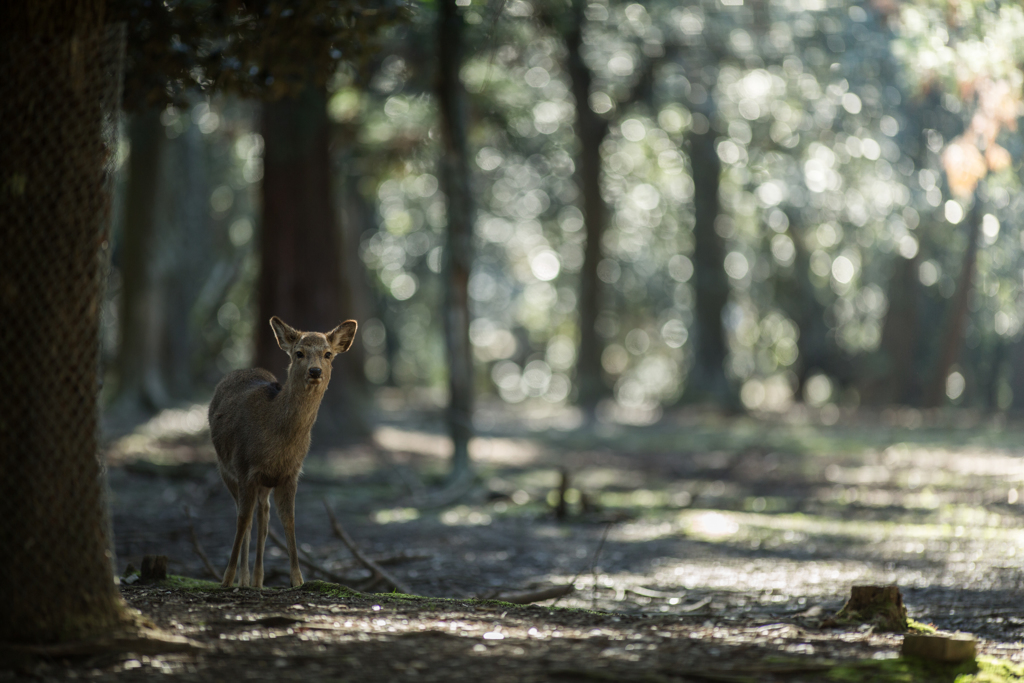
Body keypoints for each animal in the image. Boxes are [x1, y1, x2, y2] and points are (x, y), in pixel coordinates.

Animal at [205, 315, 358, 589]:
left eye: (328, 354)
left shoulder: (290, 474)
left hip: (264, 483)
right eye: (299, 353)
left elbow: (289, 521)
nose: (315, 371)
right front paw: (227, 579)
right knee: (245, 515)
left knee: (263, 516)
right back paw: (244, 579)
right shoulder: (244, 468)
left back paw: (257, 579)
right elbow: (242, 520)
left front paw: (298, 579)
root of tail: (241, 370)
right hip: (224, 468)